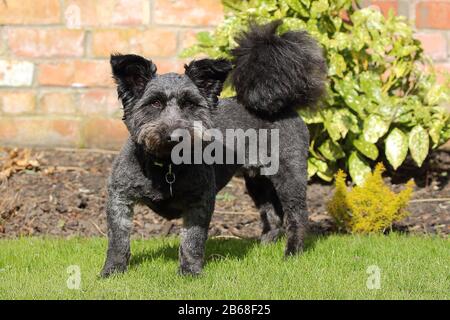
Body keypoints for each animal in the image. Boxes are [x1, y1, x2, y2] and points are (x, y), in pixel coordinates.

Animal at [101, 20, 326, 278]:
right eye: (154, 103)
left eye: (190, 104)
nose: (175, 134)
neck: (166, 167)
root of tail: (281, 106)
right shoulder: (119, 197)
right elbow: (118, 240)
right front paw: (111, 271)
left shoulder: (200, 201)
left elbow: (192, 239)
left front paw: (189, 272)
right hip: (257, 182)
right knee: (273, 215)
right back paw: (264, 248)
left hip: (290, 175)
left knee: (297, 216)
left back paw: (292, 252)